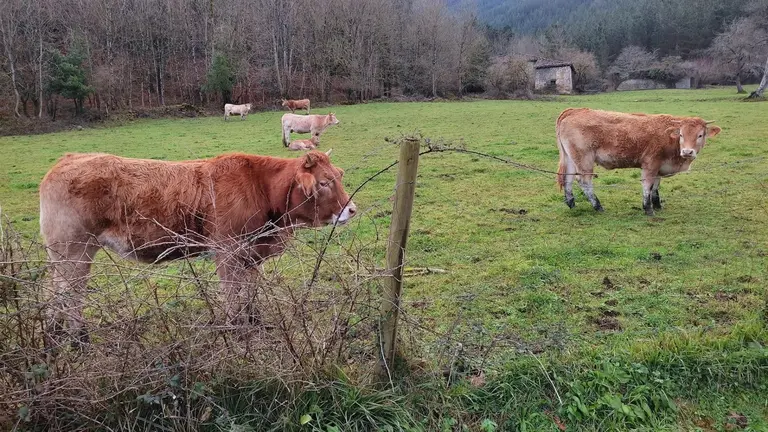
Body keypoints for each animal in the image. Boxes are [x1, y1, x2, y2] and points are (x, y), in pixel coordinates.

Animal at [39, 150, 357, 347]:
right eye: (324, 183)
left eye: (339, 176)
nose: (352, 209)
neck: (261, 187)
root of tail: (68, 159)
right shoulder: (227, 251)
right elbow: (232, 295)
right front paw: (236, 331)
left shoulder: (252, 254)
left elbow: (250, 293)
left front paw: (255, 324)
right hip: (74, 251)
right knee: (69, 294)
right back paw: (76, 341)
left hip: (66, 255)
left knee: (59, 293)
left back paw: (56, 340)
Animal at [556, 108, 721, 216]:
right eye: (681, 134)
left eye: (700, 135)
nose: (687, 152)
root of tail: (574, 110)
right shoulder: (650, 164)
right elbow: (647, 185)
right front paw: (648, 208)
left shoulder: (659, 167)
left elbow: (655, 187)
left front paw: (657, 204)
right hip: (585, 160)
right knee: (584, 181)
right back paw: (598, 206)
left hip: (571, 158)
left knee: (568, 179)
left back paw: (571, 203)